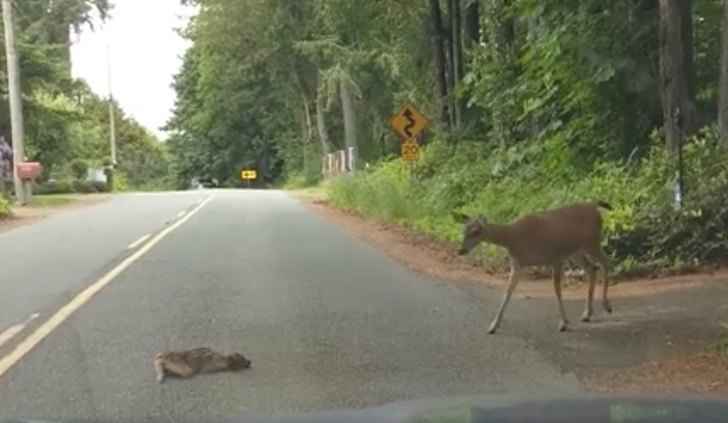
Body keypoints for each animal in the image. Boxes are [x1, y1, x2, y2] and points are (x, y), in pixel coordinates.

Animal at [456, 202, 616, 334]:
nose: (461, 250)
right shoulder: (518, 264)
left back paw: (607, 306)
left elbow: (557, 289)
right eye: (464, 230)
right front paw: (493, 326)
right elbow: (508, 292)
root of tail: (594, 206)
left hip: (592, 242)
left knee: (606, 262)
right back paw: (587, 314)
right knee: (593, 268)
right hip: (577, 251)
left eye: (476, 231)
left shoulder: (555, 258)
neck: (512, 239)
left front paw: (563, 323)